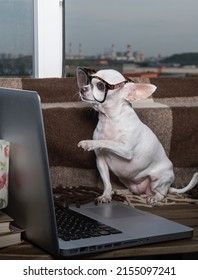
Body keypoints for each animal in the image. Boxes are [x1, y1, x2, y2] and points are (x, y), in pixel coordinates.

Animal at [77, 68, 198, 203]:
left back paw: (155, 197)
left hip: (158, 181)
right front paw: (106, 195)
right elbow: (107, 182)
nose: (82, 89)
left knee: (162, 193)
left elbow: (108, 141)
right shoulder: (101, 162)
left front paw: (88, 143)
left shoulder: (126, 150)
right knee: (133, 190)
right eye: (88, 82)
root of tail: (168, 186)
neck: (109, 120)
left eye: (100, 86)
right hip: (126, 181)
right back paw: (121, 191)